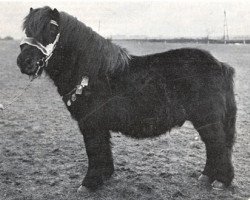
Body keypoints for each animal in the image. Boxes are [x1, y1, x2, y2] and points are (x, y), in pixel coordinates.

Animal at [17, 6, 236, 191]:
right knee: (214, 147)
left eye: (52, 29)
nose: (24, 62)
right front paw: (104, 176)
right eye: (27, 30)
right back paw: (207, 177)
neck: (93, 73)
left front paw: (89, 183)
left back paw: (220, 181)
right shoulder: (98, 125)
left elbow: (94, 150)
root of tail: (220, 65)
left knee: (217, 145)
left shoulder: (91, 123)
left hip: (207, 119)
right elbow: (103, 149)